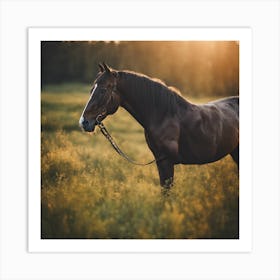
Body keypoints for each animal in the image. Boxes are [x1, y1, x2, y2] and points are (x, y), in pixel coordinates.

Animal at [79, 63, 238, 190]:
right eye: (91, 89)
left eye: (103, 90)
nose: (83, 122)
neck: (164, 115)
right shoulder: (160, 162)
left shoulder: (166, 161)